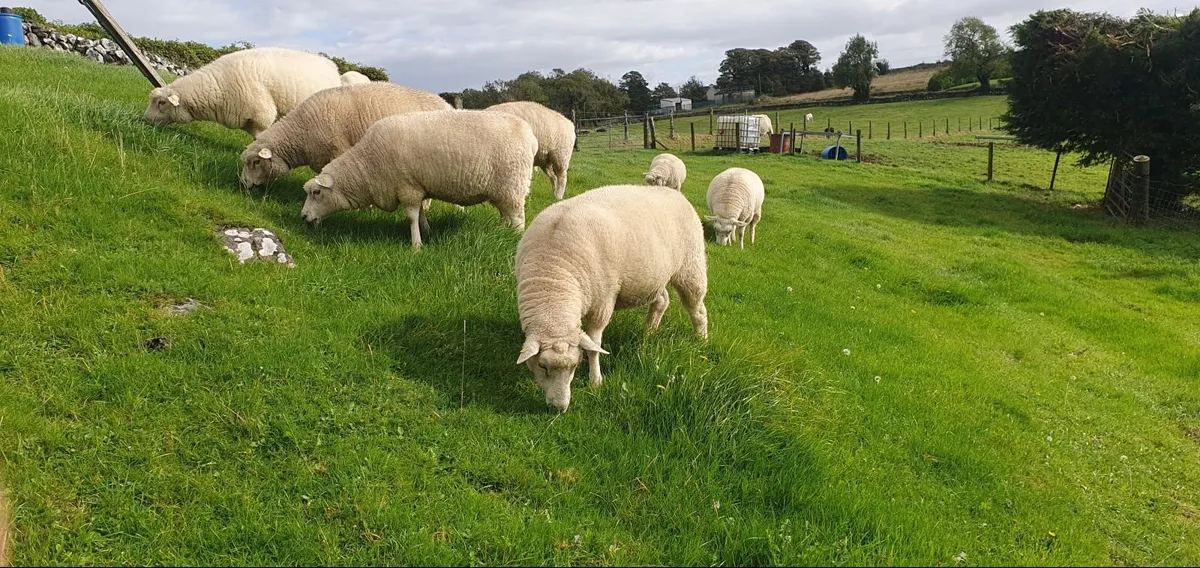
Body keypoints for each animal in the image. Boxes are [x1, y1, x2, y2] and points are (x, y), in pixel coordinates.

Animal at [299, 109, 538, 249]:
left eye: (317, 192)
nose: (303, 217)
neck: (367, 164)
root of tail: (531, 136)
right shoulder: (417, 186)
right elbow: (421, 213)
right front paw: (427, 231)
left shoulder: (407, 188)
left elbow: (412, 217)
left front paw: (416, 245)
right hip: (502, 189)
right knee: (506, 214)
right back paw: (502, 230)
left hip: (513, 183)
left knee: (518, 217)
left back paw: (515, 239)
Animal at [514, 184, 709, 412]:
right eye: (542, 366)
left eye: (575, 365)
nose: (559, 408)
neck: (553, 279)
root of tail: (674, 192)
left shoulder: (603, 302)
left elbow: (594, 345)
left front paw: (595, 380)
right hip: (654, 276)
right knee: (662, 301)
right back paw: (649, 333)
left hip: (691, 266)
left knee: (698, 310)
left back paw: (701, 339)